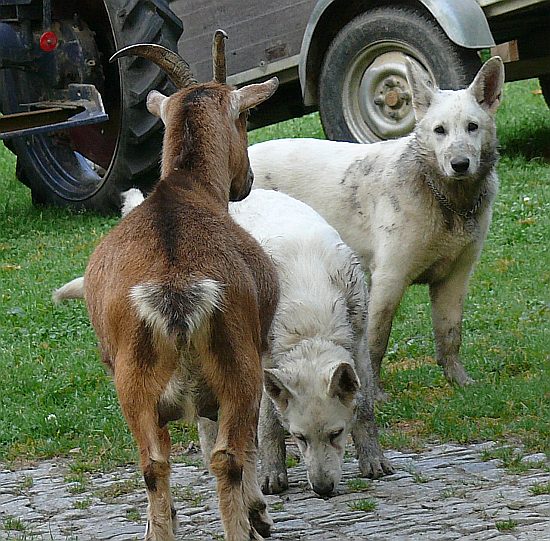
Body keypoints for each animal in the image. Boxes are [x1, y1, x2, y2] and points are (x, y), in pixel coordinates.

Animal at [84, 35, 280, 536]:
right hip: (238, 371)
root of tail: (176, 291)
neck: (183, 190)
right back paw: (244, 525)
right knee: (228, 456)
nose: (246, 180)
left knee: (153, 464)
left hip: (133, 386)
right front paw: (259, 512)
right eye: (244, 118)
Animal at [249, 57, 504, 398]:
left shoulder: (455, 278)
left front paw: (458, 380)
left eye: (472, 127)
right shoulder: (388, 278)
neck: (444, 199)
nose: (460, 164)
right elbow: (376, 341)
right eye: (440, 130)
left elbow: (450, 334)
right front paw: (377, 394)